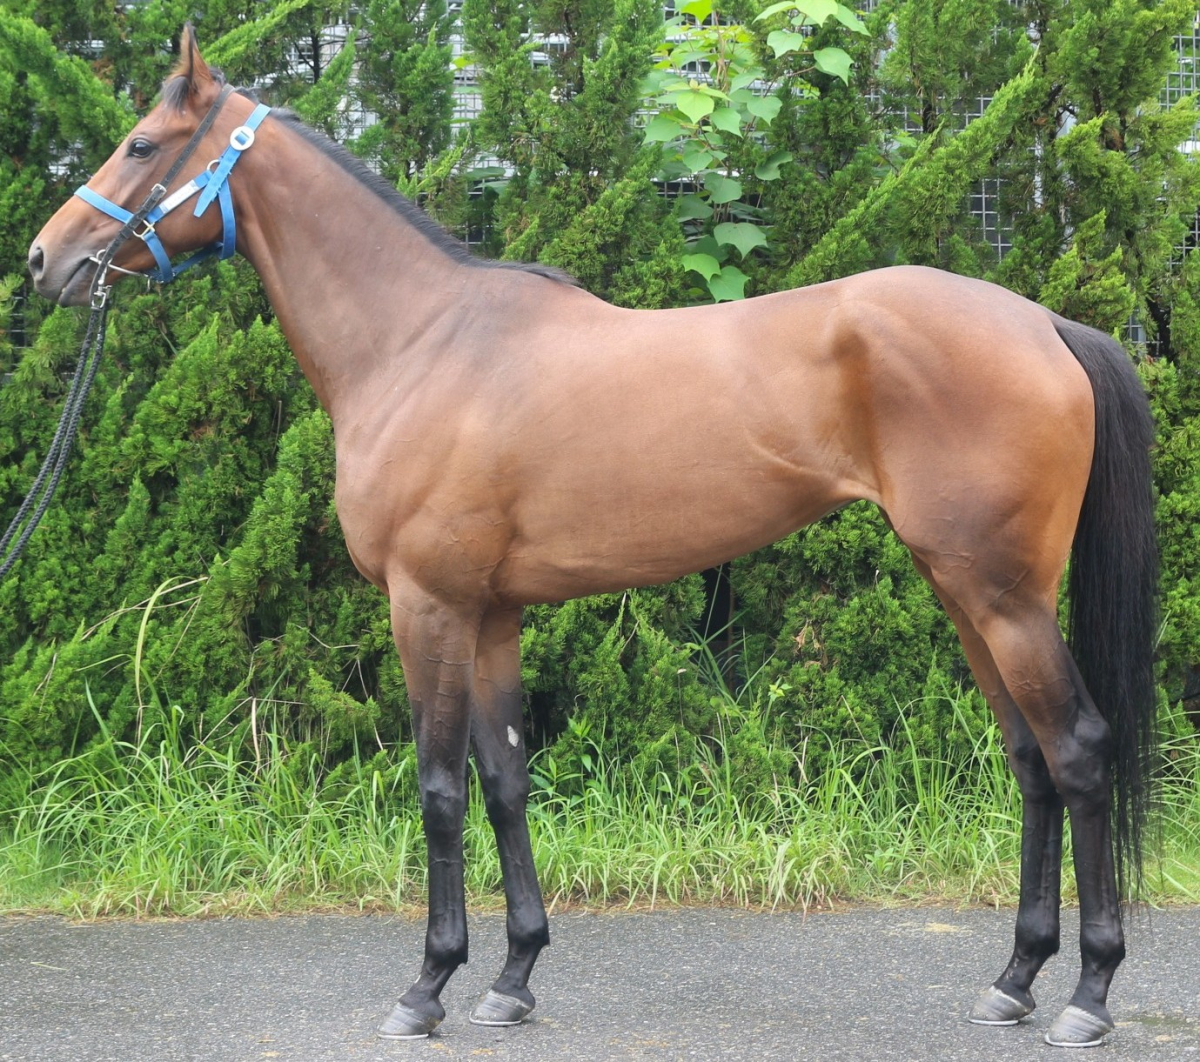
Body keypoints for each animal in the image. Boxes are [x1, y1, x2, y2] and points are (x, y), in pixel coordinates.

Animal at [27, 27, 1157, 1049]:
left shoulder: (428, 604)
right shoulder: (491, 614)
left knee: (1078, 750)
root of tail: (1045, 324)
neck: (420, 341)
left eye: (138, 143)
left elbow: (439, 790)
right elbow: (505, 780)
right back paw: (1014, 979)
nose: (46, 259)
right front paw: (512, 978)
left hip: (1003, 597)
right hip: (964, 590)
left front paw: (425, 989)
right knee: (1030, 759)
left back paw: (1089, 995)